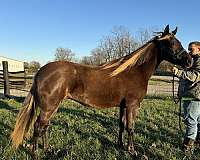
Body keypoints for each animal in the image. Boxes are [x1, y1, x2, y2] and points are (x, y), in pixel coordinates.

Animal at [10, 25, 192, 154]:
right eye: (172, 43)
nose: (189, 61)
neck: (134, 71)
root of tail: (40, 71)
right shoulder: (132, 106)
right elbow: (131, 127)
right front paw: (132, 151)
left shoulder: (123, 106)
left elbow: (121, 125)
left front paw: (120, 145)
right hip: (49, 107)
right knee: (38, 126)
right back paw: (35, 153)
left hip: (53, 106)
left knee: (46, 126)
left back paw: (48, 150)